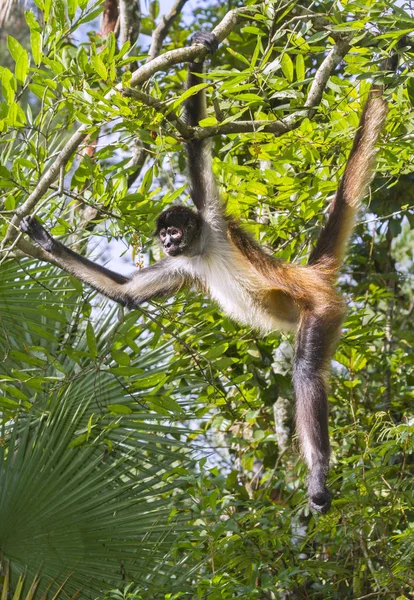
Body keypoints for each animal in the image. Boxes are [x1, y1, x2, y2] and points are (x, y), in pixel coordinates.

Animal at [20, 31, 392, 510]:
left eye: (175, 230)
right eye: (164, 236)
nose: (167, 241)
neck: (200, 250)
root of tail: (308, 274)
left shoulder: (212, 219)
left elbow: (197, 146)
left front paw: (199, 53)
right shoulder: (184, 267)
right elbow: (127, 294)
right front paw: (44, 241)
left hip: (321, 308)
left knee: (307, 372)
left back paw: (317, 475)